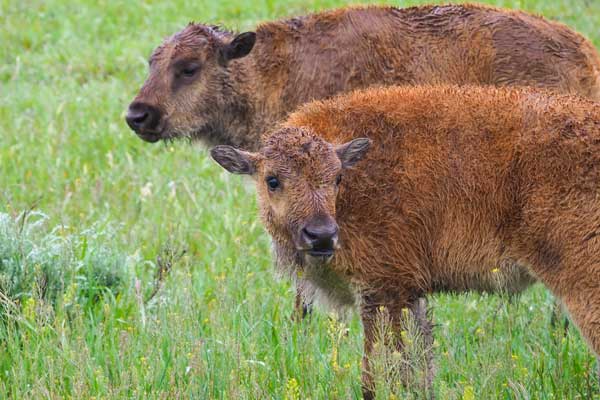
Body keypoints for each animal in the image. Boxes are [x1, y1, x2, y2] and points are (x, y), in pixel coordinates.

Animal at [210, 86, 600, 398]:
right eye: (272, 180)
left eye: (337, 178)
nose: (320, 235)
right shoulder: (410, 295)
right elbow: (416, 367)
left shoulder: (384, 291)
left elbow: (378, 372)